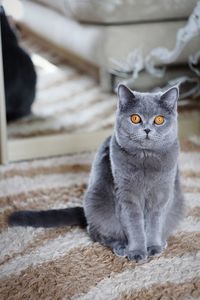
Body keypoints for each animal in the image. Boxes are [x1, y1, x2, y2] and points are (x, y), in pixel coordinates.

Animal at [8, 84, 184, 260]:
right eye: (135, 118)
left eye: (159, 120)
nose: (147, 129)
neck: (145, 159)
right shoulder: (126, 196)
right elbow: (135, 226)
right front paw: (137, 252)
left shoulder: (162, 194)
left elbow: (155, 223)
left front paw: (153, 247)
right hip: (96, 200)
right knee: (95, 232)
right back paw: (121, 246)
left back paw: (162, 242)